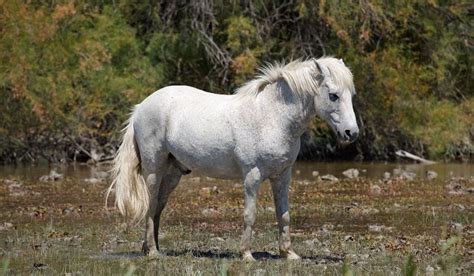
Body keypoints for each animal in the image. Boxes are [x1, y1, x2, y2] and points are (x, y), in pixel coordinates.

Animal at [108, 56, 360, 260]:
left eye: (351, 95)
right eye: (333, 96)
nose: (351, 133)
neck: (271, 117)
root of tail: (141, 107)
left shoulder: (282, 176)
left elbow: (284, 214)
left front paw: (289, 254)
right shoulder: (252, 176)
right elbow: (250, 214)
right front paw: (246, 254)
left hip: (173, 173)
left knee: (159, 206)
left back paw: (154, 248)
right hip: (154, 169)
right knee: (151, 205)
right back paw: (152, 251)